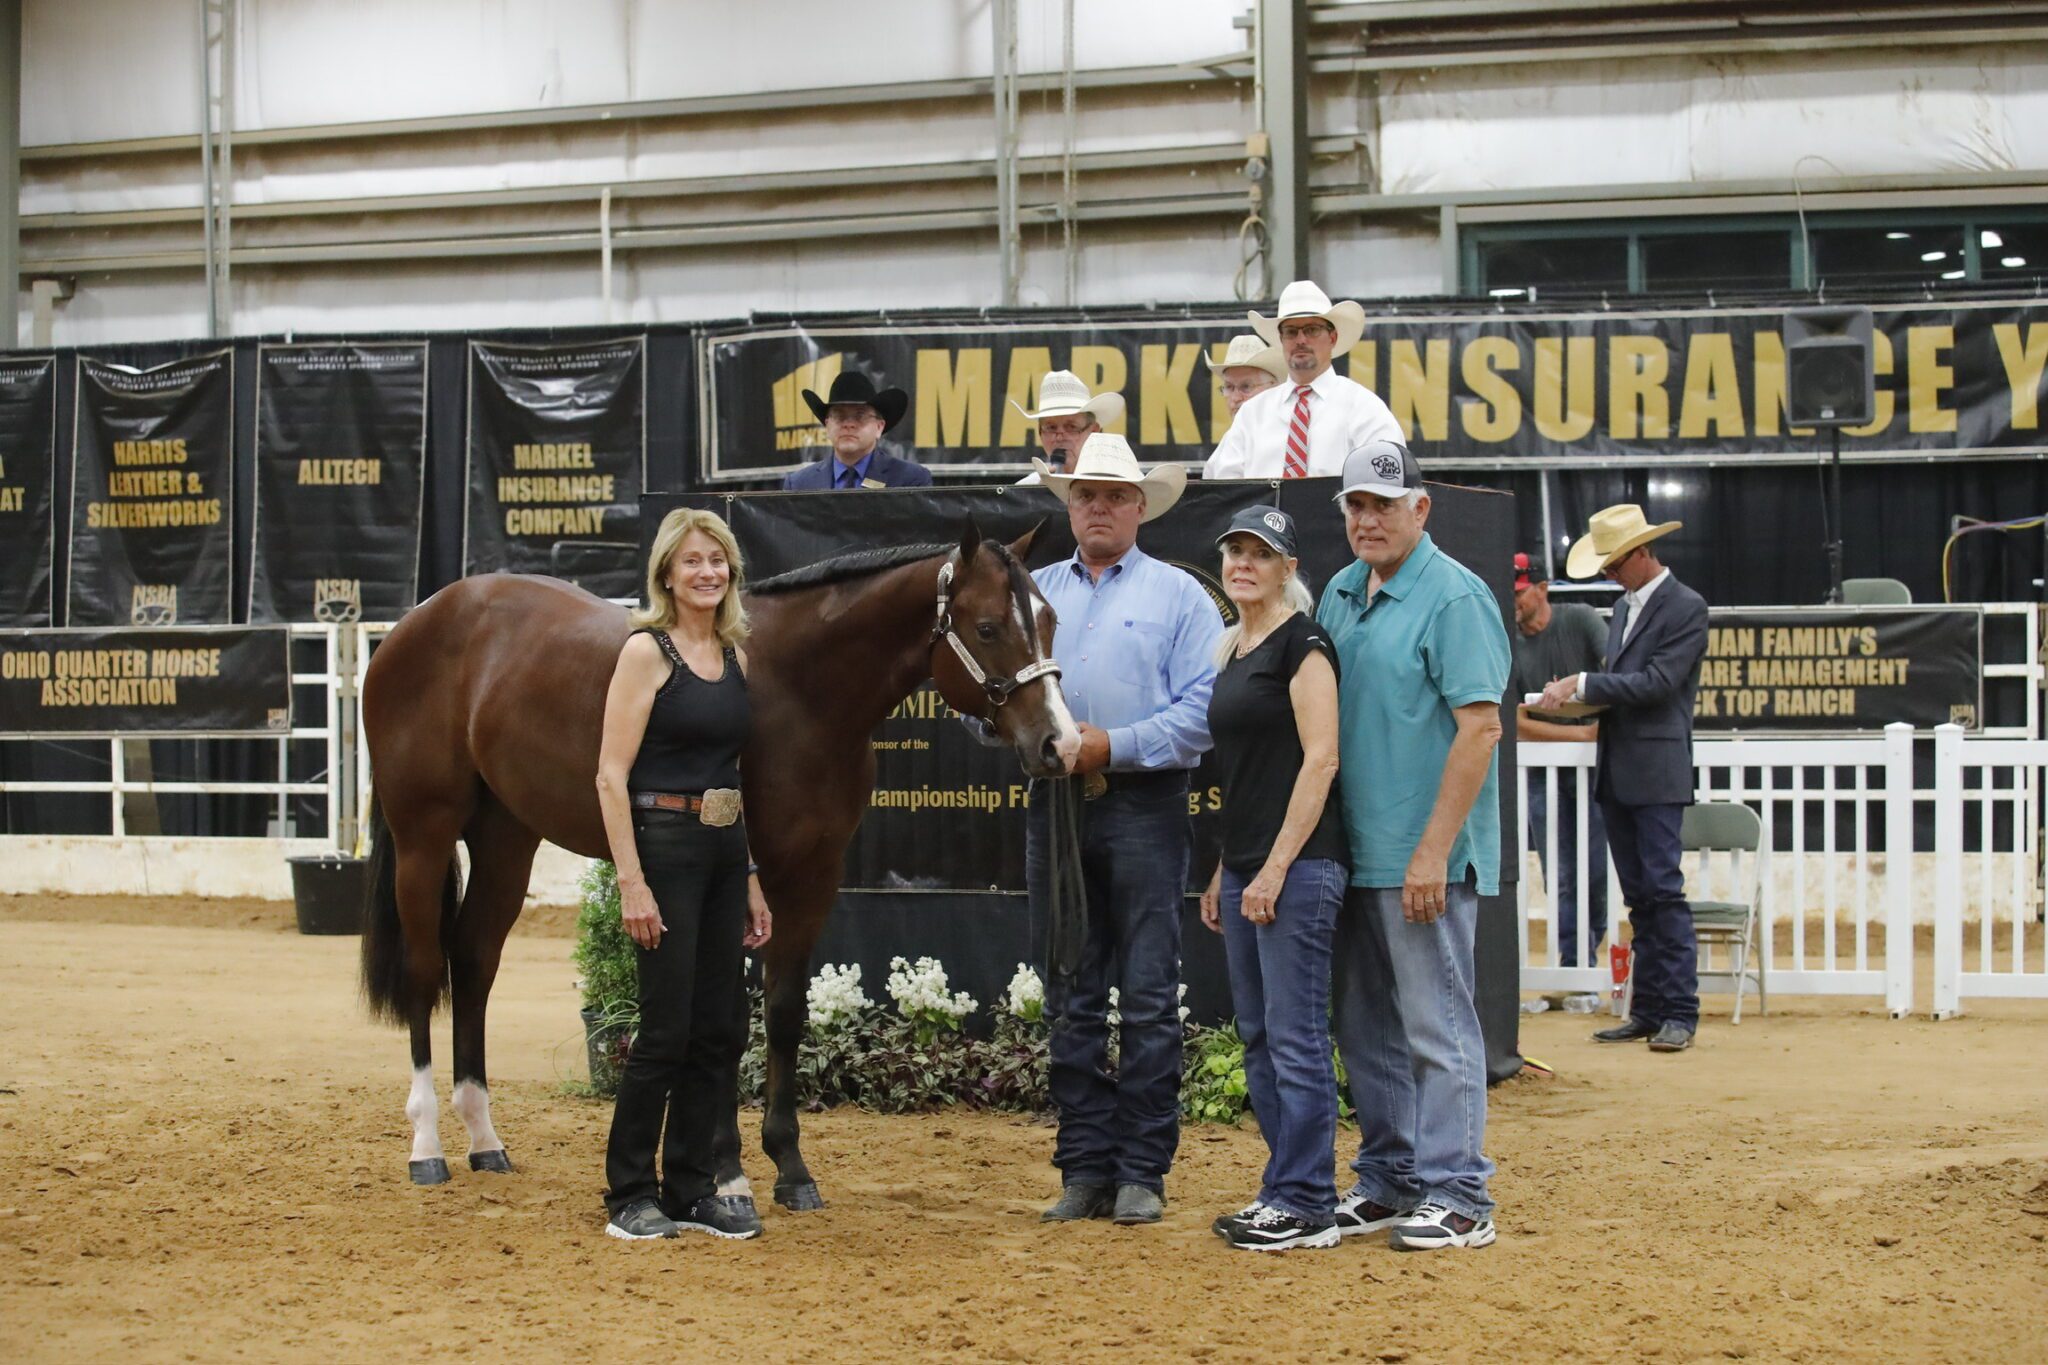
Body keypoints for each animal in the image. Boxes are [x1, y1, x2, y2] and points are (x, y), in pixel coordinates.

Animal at [360, 519, 1081, 1203]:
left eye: (1049, 621)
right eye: (987, 627)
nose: (1062, 744)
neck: (799, 689)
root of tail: (418, 620)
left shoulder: (812, 878)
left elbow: (784, 1015)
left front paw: (789, 1167)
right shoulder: (738, 883)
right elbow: (729, 1023)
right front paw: (724, 1168)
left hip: (506, 837)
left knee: (474, 961)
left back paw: (484, 1139)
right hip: (424, 835)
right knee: (425, 972)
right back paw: (427, 1146)